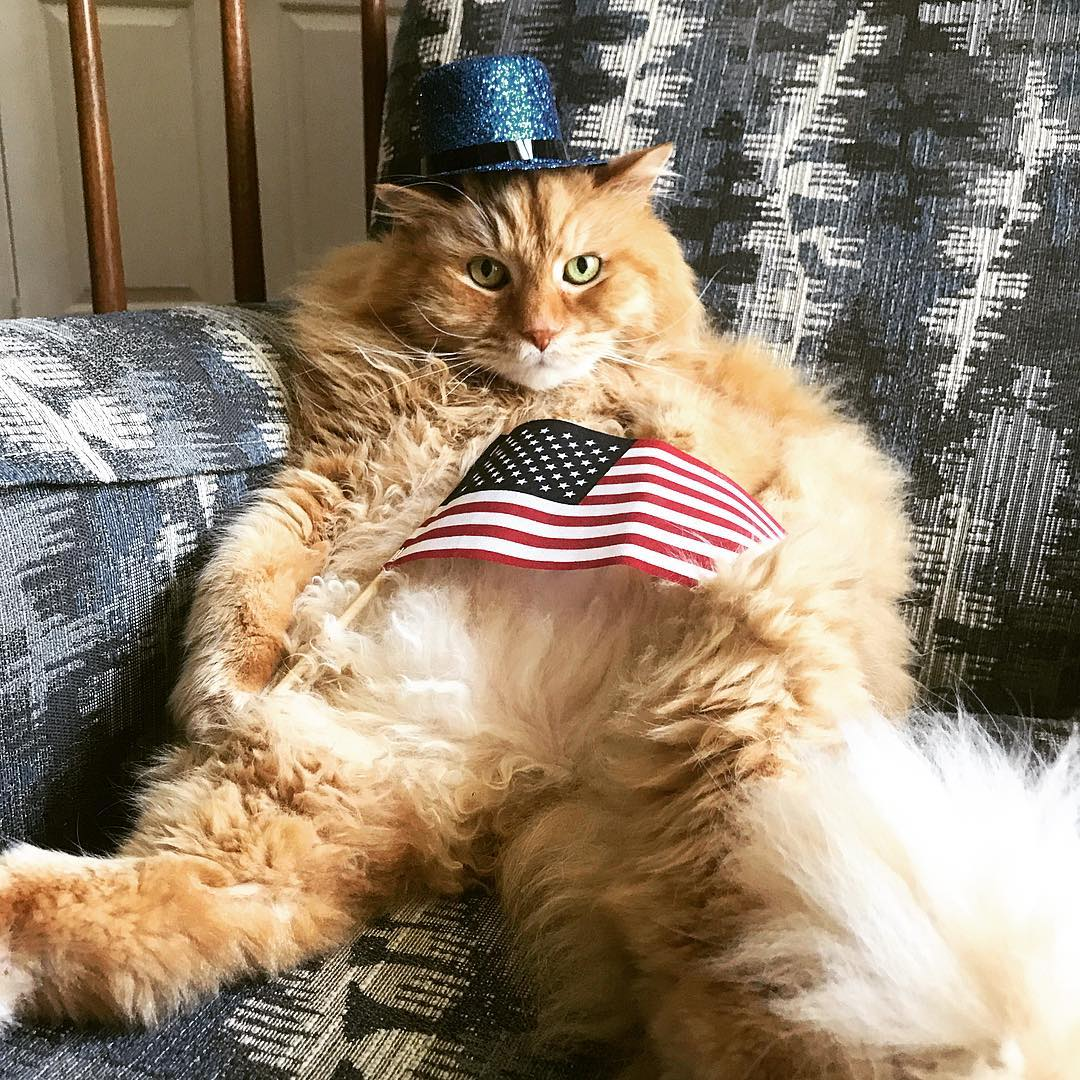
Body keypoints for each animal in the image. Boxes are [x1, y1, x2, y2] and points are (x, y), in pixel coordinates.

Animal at [2, 144, 1079, 1079]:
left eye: (581, 269)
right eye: (486, 273)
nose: (542, 335)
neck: (474, 402)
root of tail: (533, 772)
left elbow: (670, 407)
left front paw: (626, 392)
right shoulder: (322, 485)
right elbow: (242, 589)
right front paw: (218, 684)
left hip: (741, 764)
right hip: (300, 786)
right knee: (167, 915)